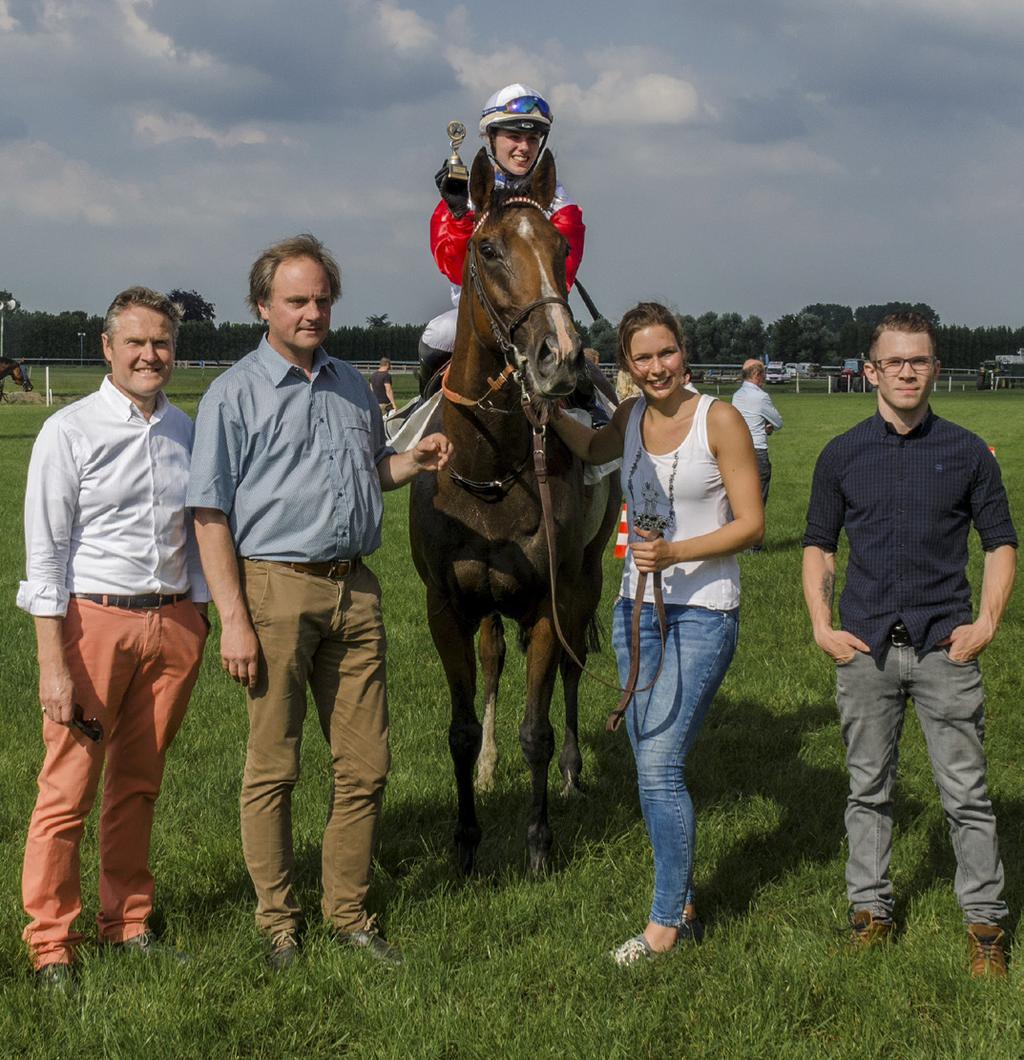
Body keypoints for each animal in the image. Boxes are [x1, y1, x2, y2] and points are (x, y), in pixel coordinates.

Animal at [413, 151, 623, 877]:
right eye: (488, 248)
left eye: (562, 248)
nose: (560, 358)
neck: (492, 473)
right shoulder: (448, 604)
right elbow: (457, 727)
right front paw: (466, 840)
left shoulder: (545, 599)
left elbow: (539, 727)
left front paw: (537, 842)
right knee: (494, 662)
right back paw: (487, 766)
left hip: (586, 576)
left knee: (569, 669)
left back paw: (573, 773)